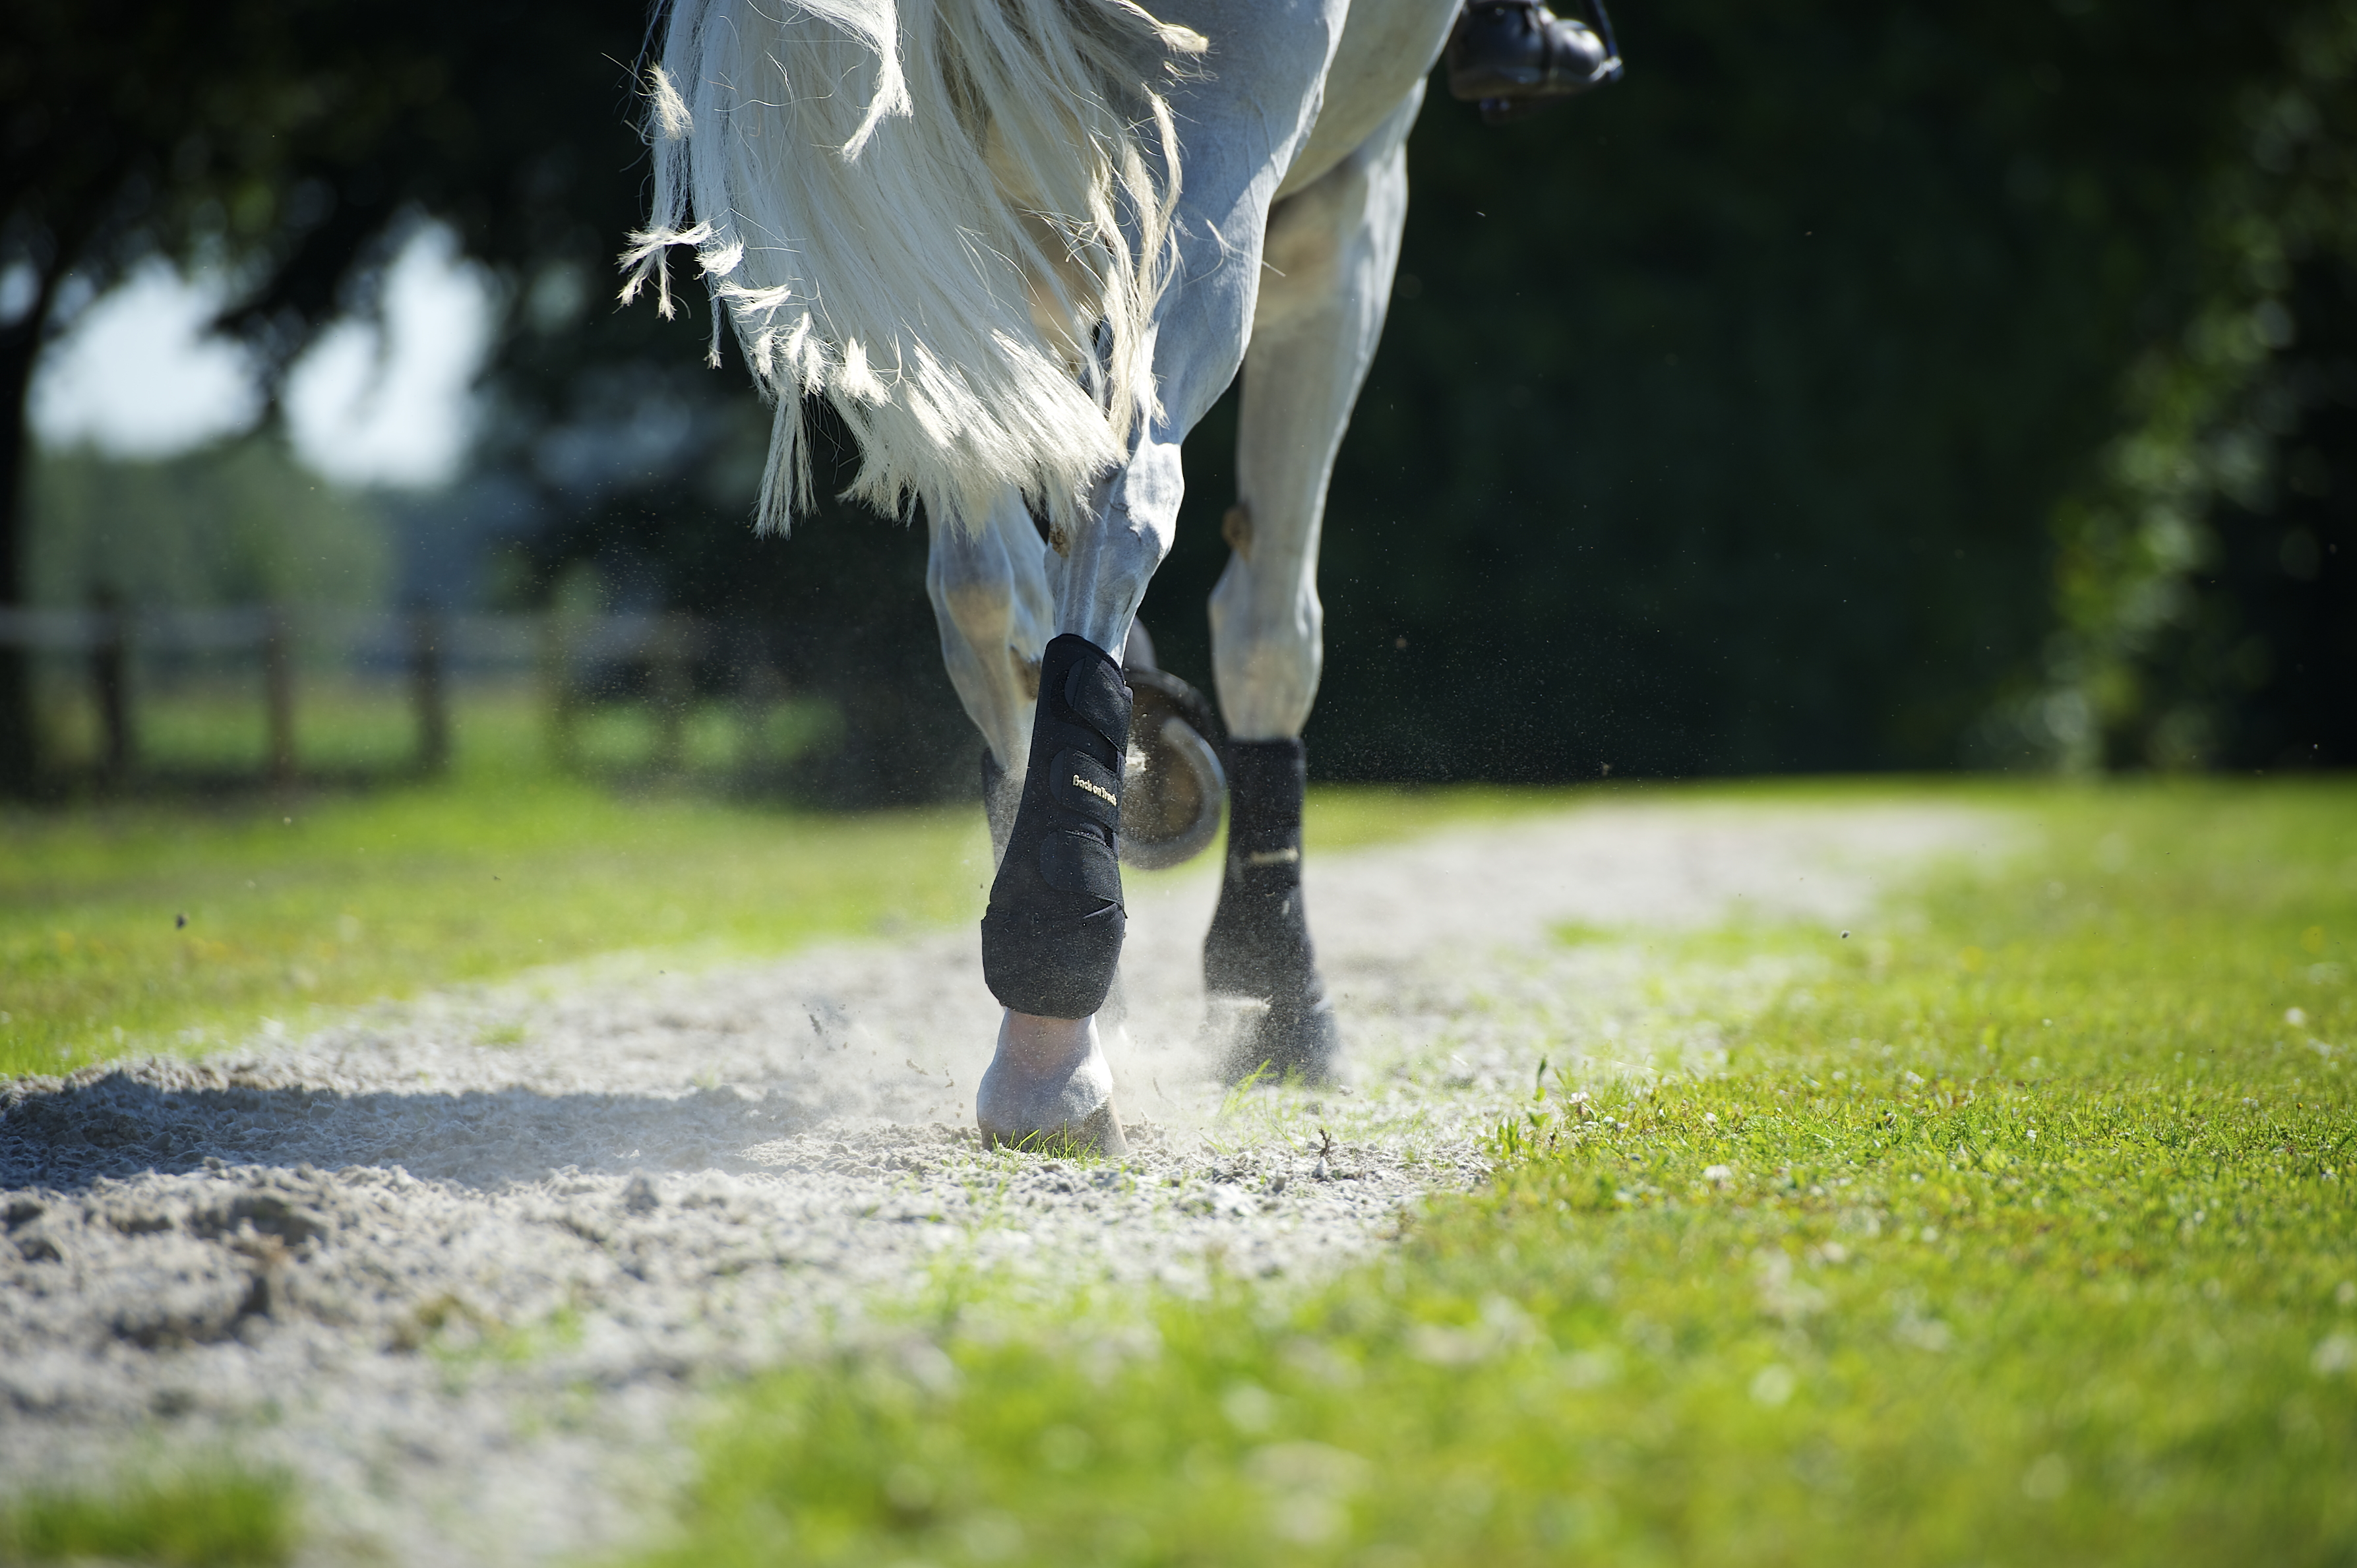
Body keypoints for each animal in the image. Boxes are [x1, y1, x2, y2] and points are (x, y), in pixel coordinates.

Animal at [625, 0, 1465, 1152]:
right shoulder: (1346, 202)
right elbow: (1270, 624)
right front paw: (1277, 1008)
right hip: (1211, 142)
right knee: (1122, 486)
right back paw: (1057, 1034)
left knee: (984, 576)